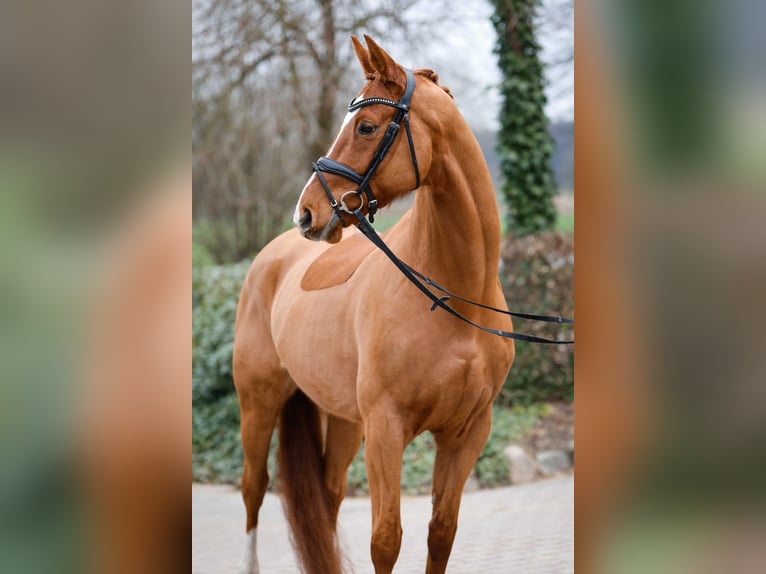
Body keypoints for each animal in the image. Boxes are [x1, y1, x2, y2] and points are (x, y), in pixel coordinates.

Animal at [232, 35, 515, 574]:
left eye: (366, 126)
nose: (307, 213)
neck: (456, 300)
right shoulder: (387, 429)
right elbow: (386, 539)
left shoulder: (467, 433)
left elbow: (440, 533)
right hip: (258, 403)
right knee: (253, 489)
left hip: (343, 418)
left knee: (327, 496)